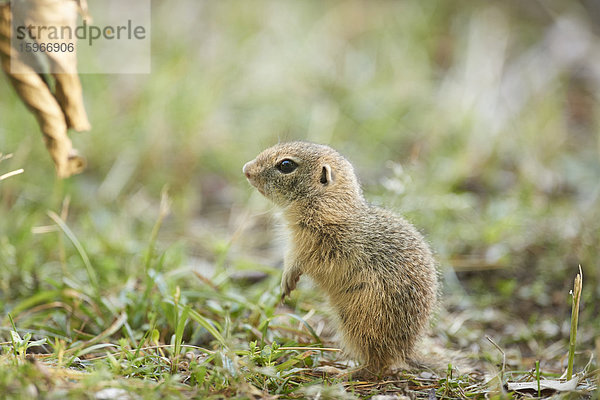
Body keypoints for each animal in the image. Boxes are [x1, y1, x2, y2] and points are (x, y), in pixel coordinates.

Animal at [241, 142, 438, 376]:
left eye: (286, 165)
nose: (246, 169)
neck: (327, 202)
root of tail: (405, 351)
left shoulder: (313, 246)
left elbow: (297, 261)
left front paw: (287, 281)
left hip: (361, 319)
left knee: (377, 365)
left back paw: (340, 372)